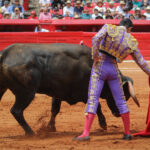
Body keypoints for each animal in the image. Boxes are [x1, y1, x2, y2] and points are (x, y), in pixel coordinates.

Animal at [0, 43, 138, 135]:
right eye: (122, 94)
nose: (118, 114)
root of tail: (5, 53)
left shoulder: (57, 93)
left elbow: (55, 109)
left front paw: (50, 127)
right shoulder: (86, 93)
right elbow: (97, 106)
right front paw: (103, 124)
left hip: (5, 89)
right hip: (26, 93)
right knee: (16, 111)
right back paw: (31, 133)